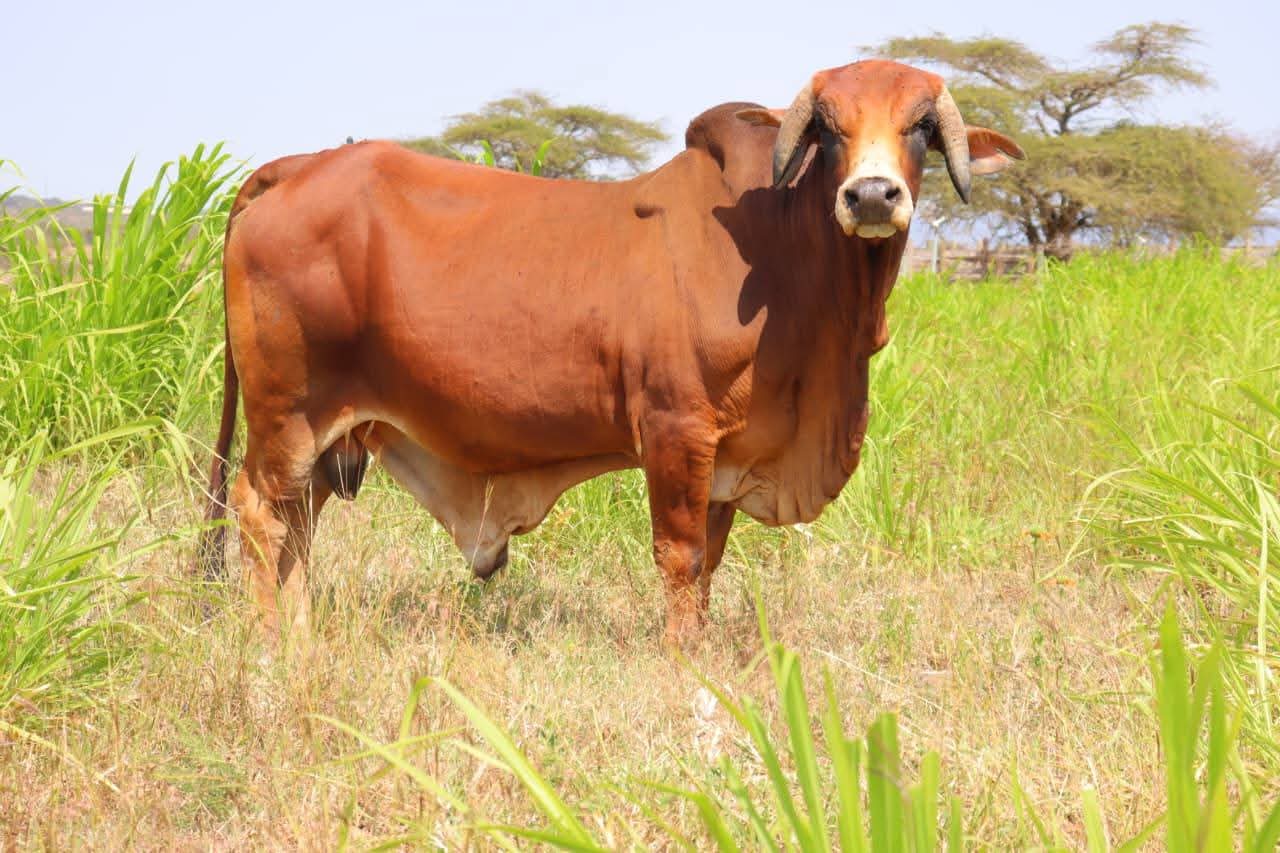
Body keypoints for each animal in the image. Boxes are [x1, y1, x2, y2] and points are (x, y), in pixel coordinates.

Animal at [198, 60, 1023, 647]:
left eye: (919, 126)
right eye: (828, 127)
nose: (873, 196)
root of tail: (292, 168)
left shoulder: (726, 459)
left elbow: (710, 565)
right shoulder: (675, 430)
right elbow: (681, 558)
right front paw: (682, 664)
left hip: (326, 434)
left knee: (297, 525)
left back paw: (302, 638)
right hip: (286, 415)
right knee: (258, 513)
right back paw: (270, 646)